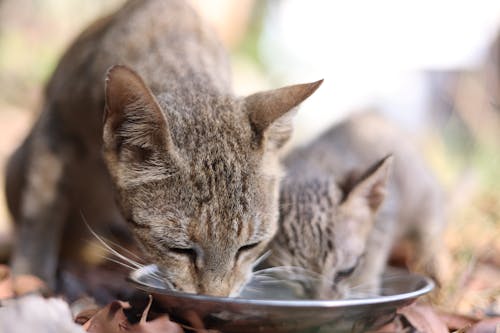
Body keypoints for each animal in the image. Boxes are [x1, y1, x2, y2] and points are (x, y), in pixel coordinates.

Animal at [3, 0, 320, 296]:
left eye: (249, 246)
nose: (217, 296)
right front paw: (31, 275)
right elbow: (41, 207)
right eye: (180, 249)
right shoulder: (56, 123)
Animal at [266, 111, 446, 298]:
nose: (323, 301)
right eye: (298, 281)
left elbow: (374, 252)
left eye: (346, 272)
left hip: (424, 194)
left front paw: (364, 289)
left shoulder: (387, 213)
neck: (310, 169)